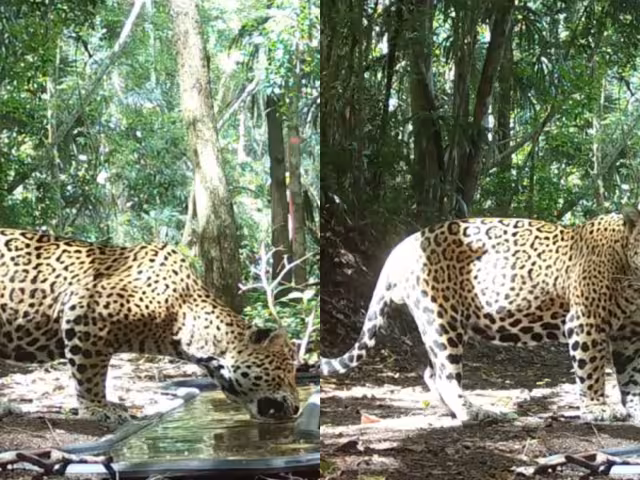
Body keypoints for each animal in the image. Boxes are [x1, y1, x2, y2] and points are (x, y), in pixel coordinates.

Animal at [321, 207, 640, 424]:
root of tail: (400, 246)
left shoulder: (629, 335)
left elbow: (632, 375)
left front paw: (634, 406)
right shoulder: (586, 323)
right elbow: (592, 370)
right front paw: (597, 409)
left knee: (432, 372)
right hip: (441, 319)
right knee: (447, 377)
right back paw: (477, 412)